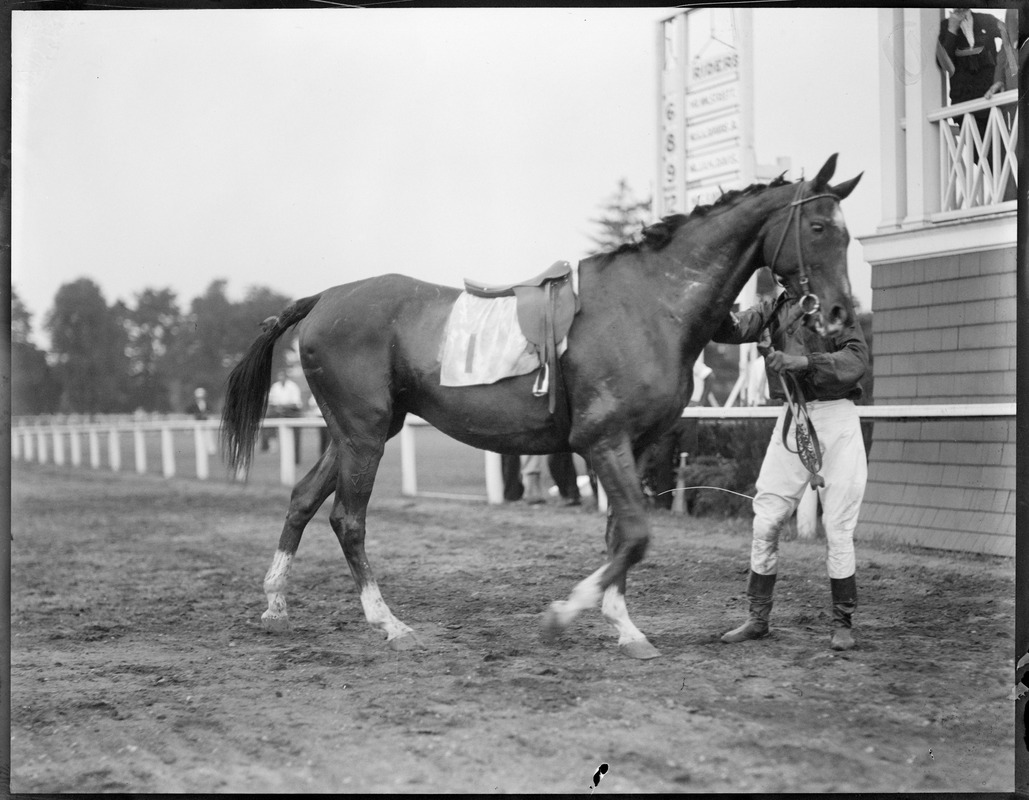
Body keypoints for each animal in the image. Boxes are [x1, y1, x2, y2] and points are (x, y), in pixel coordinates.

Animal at [221, 153, 861, 659]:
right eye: (819, 226)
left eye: (849, 235)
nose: (837, 316)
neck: (650, 303)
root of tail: (324, 298)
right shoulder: (600, 441)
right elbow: (635, 534)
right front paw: (564, 615)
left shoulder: (635, 445)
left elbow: (618, 534)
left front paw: (624, 627)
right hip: (365, 433)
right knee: (347, 520)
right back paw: (388, 622)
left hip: (354, 431)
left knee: (303, 499)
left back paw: (276, 605)